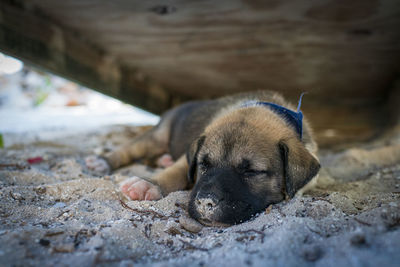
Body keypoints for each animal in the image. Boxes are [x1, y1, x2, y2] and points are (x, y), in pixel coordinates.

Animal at [86, 91, 320, 226]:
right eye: (203, 164)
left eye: (251, 171)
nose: (206, 202)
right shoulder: (188, 156)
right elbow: (176, 172)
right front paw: (149, 183)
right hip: (157, 136)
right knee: (129, 149)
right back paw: (103, 161)